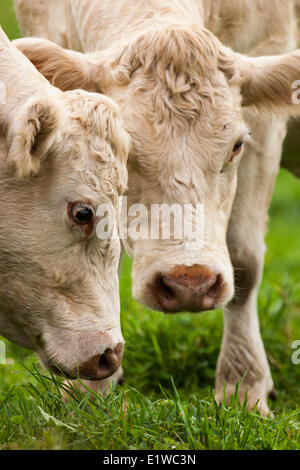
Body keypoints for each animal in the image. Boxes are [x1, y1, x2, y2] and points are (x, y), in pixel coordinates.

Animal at [13, 0, 300, 414]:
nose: (189, 284)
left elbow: (245, 261)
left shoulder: (264, 123)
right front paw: (89, 388)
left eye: (236, 146)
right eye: (126, 150)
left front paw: (243, 385)